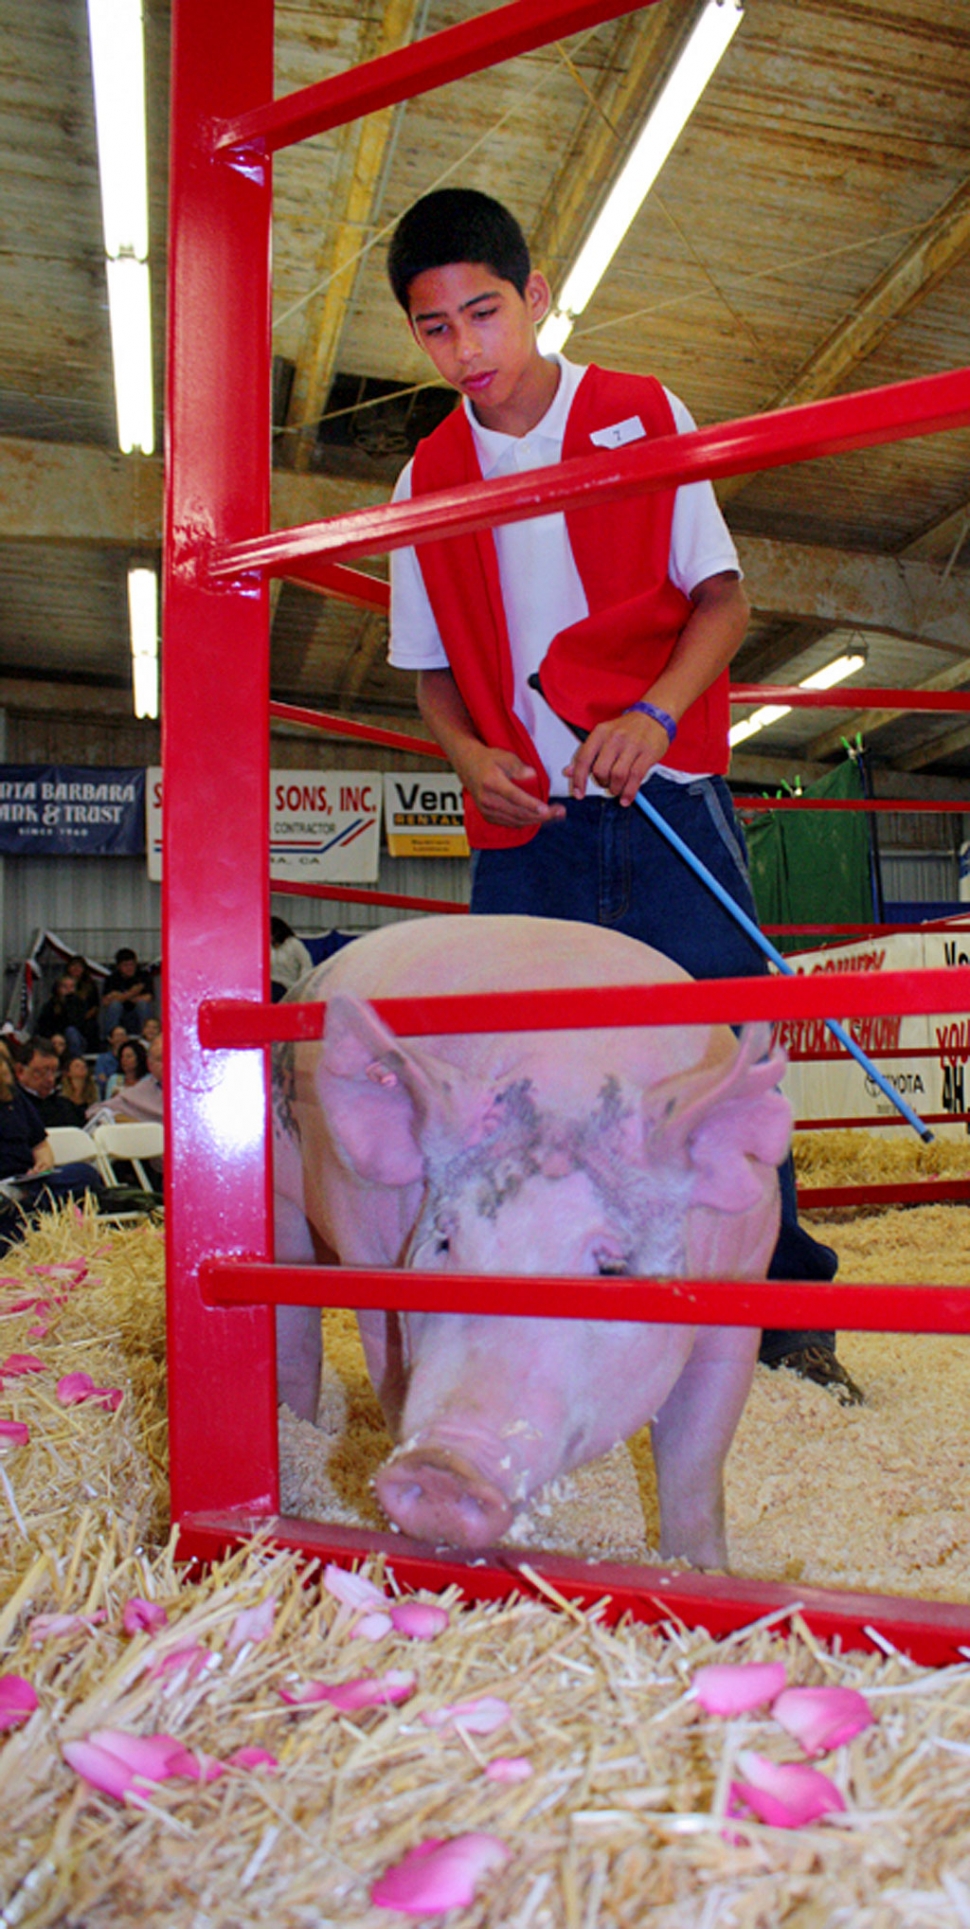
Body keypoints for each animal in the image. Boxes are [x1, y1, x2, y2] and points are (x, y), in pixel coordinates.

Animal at [271, 914, 790, 1566]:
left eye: (612, 1268)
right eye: (445, 1243)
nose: (444, 1467)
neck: (572, 1077)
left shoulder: (742, 1287)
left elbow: (696, 1460)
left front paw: (701, 1571)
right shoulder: (377, 1260)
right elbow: (392, 1381)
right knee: (295, 1330)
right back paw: (301, 1431)